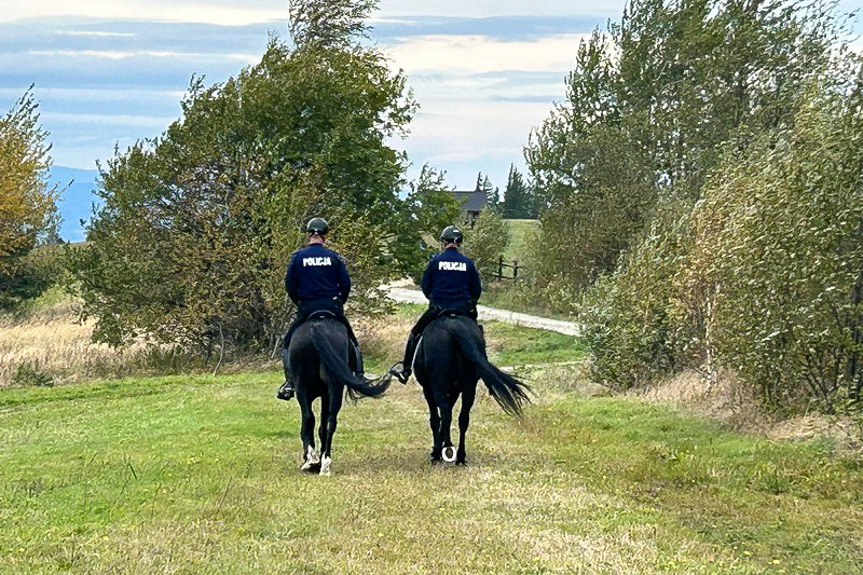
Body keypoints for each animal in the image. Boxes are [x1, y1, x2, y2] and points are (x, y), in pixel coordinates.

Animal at [288, 318, 390, 474]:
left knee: (309, 418)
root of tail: (317, 327)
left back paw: (311, 460)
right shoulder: (325, 395)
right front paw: (318, 462)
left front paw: (311, 461)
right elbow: (322, 427)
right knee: (331, 422)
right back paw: (325, 464)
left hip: (302, 387)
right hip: (334, 387)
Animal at [414, 312, 528, 466]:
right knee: (463, 419)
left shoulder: (428, 389)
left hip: (437, 387)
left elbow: (436, 419)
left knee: (445, 413)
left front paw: (438, 449)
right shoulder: (456, 390)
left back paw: (442, 452)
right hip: (469, 388)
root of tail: (453, 327)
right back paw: (460, 456)